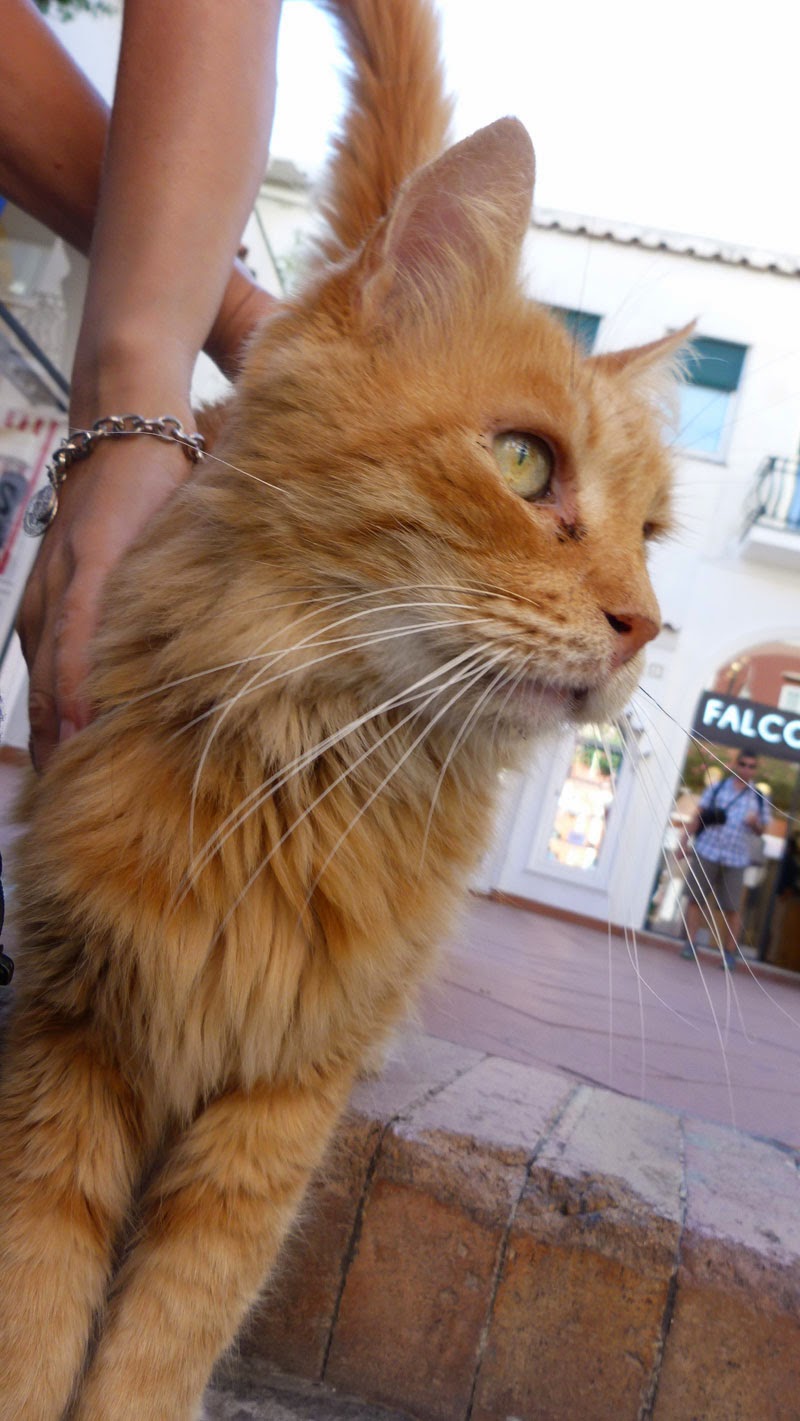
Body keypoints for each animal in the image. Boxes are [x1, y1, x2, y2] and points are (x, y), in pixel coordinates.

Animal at [0, 0, 684, 1417]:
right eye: (524, 461)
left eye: (649, 540)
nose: (642, 625)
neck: (311, 773)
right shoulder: (72, 1025)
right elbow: (37, 1301)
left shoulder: (282, 1096)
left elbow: (168, 1328)